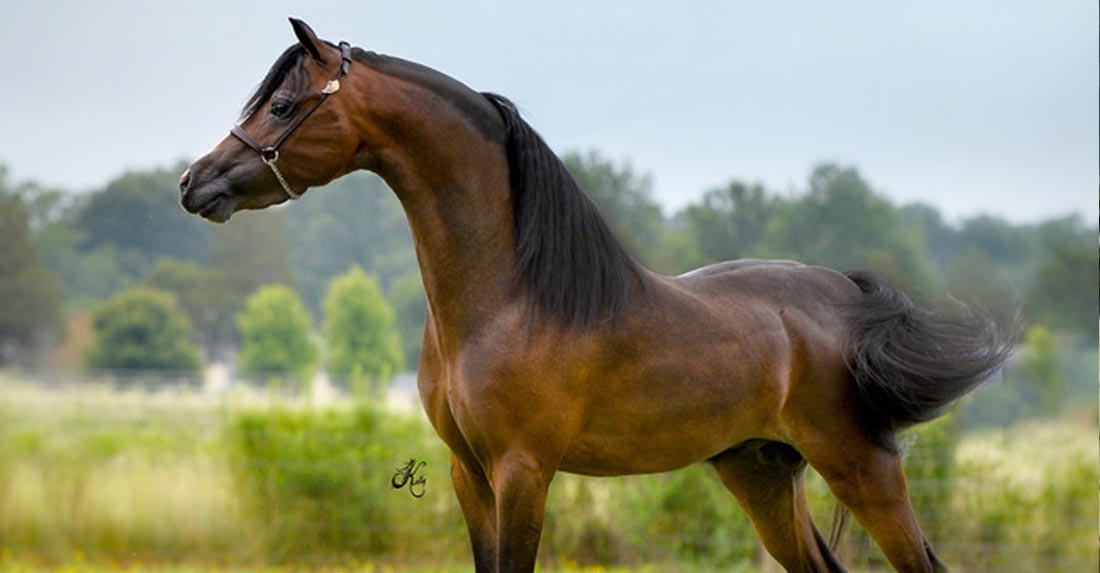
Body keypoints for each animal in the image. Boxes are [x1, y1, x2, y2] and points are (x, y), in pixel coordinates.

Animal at [180, 18, 1012, 571]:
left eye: (283, 106)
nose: (194, 182)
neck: (505, 300)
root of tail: (845, 296)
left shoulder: (522, 472)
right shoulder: (467, 473)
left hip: (862, 467)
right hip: (761, 470)